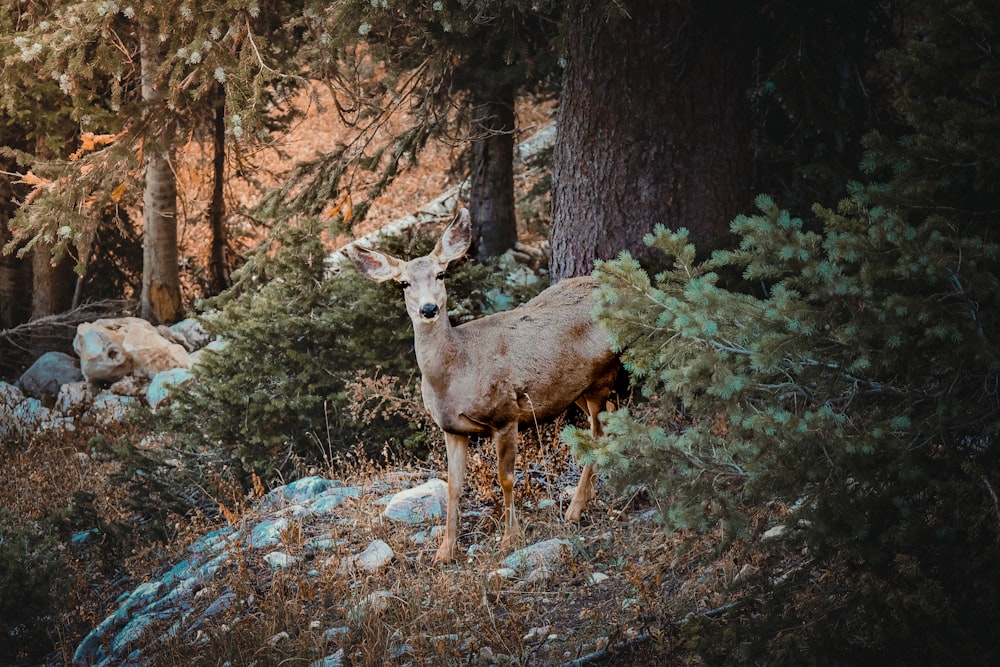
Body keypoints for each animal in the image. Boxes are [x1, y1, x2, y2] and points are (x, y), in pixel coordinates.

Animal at [348, 209, 620, 564]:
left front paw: (510, 538)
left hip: (601, 373)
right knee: (609, 418)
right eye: (404, 283)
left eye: (440, 274)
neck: (457, 373)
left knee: (597, 434)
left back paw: (575, 509)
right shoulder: (452, 430)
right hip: (577, 388)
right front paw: (444, 551)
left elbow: (506, 478)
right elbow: (452, 485)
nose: (428, 309)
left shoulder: (505, 414)